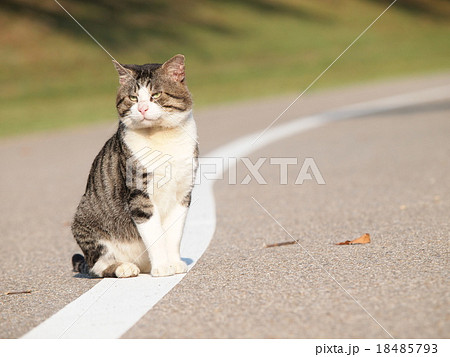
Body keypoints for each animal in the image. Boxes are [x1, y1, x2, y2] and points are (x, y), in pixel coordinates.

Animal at [71, 54, 198, 276]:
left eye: (156, 95)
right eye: (133, 98)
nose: (142, 108)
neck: (161, 138)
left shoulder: (183, 194)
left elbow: (174, 236)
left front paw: (174, 263)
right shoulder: (140, 196)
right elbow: (155, 236)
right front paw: (163, 266)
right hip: (86, 224)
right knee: (97, 265)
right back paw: (124, 267)